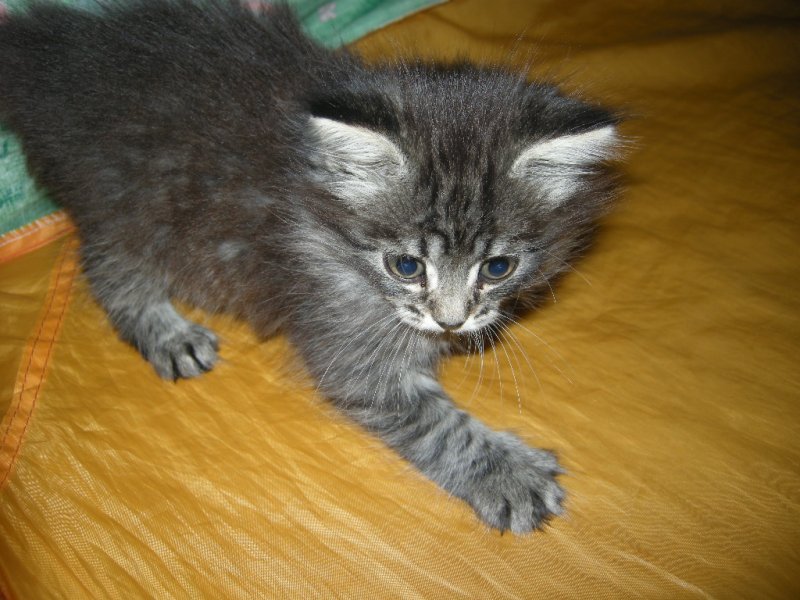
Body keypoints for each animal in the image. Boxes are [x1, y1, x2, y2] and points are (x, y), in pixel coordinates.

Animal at [0, 0, 620, 533]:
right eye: (406, 265)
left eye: (497, 268)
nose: (451, 321)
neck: (322, 207)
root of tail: (54, 52)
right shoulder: (343, 333)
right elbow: (437, 426)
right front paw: (507, 476)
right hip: (127, 212)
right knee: (105, 268)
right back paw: (167, 333)